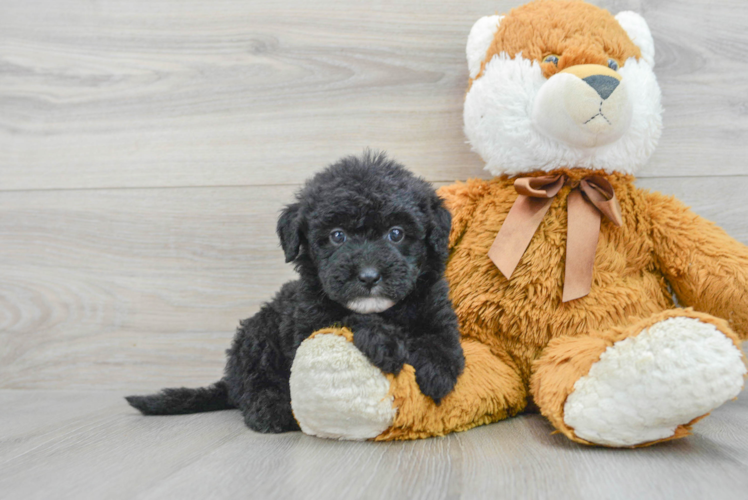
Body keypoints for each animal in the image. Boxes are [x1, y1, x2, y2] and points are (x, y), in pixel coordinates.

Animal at [129, 152, 468, 434]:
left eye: (396, 233)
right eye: (337, 236)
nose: (369, 276)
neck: (385, 309)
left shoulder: (435, 306)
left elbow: (439, 337)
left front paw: (437, 371)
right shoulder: (309, 320)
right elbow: (348, 318)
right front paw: (385, 341)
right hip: (257, 337)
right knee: (255, 384)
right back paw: (272, 410)